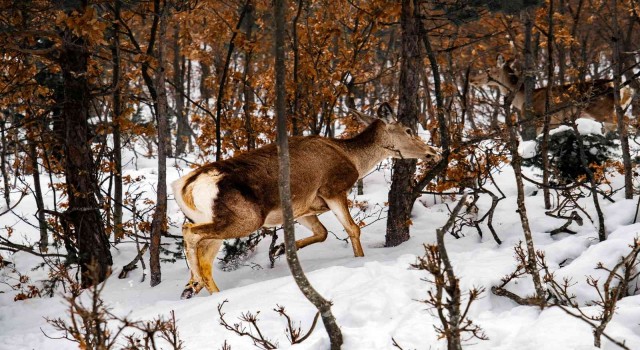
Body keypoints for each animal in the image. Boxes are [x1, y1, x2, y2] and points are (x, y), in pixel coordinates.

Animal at [171, 102, 440, 300]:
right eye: (408, 130)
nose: (433, 152)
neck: (353, 159)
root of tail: (186, 186)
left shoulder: (303, 209)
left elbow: (322, 233)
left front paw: (280, 248)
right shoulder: (333, 187)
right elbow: (352, 229)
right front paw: (359, 260)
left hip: (221, 222)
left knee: (205, 259)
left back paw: (197, 287)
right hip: (246, 218)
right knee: (190, 232)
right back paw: (194, 283)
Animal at [468, 54, 632, 134]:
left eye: (488, 70)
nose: (471, 80)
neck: (521, 99)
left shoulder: (538, 118)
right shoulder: (554, 123)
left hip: (601, 109)